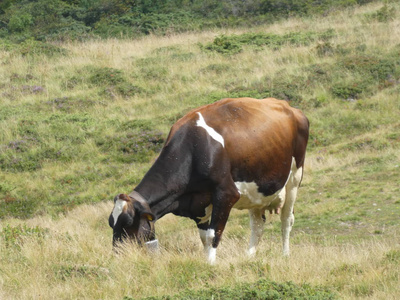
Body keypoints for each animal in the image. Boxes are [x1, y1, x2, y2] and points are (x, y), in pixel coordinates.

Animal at [108, 97, 310, 264]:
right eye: (111, 223)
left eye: (128, 222)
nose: (118, 255)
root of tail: (288, 106)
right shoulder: (198, 204)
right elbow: (204, 237)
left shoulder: (226, 194)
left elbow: (214, 235)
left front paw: (211, 266)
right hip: (257, 191)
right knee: (257, 225)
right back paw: (249, 257)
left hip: (294, 178)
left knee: (287, 219)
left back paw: (285, 255)